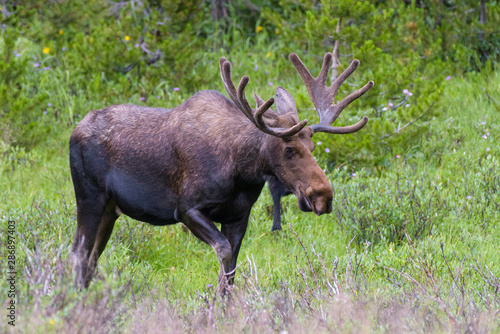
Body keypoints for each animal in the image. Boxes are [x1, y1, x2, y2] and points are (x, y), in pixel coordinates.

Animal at [70, 51, 374, 290]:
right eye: (288, 150)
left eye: (311, 146)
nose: (323, 196)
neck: (242, 171)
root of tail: (75, 129)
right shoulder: (187, 209)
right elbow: (224, 253)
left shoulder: (238, 216)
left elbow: (232, 270)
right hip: (89, 197)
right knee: (79, 252)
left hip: (111, 209)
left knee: (92, 256)